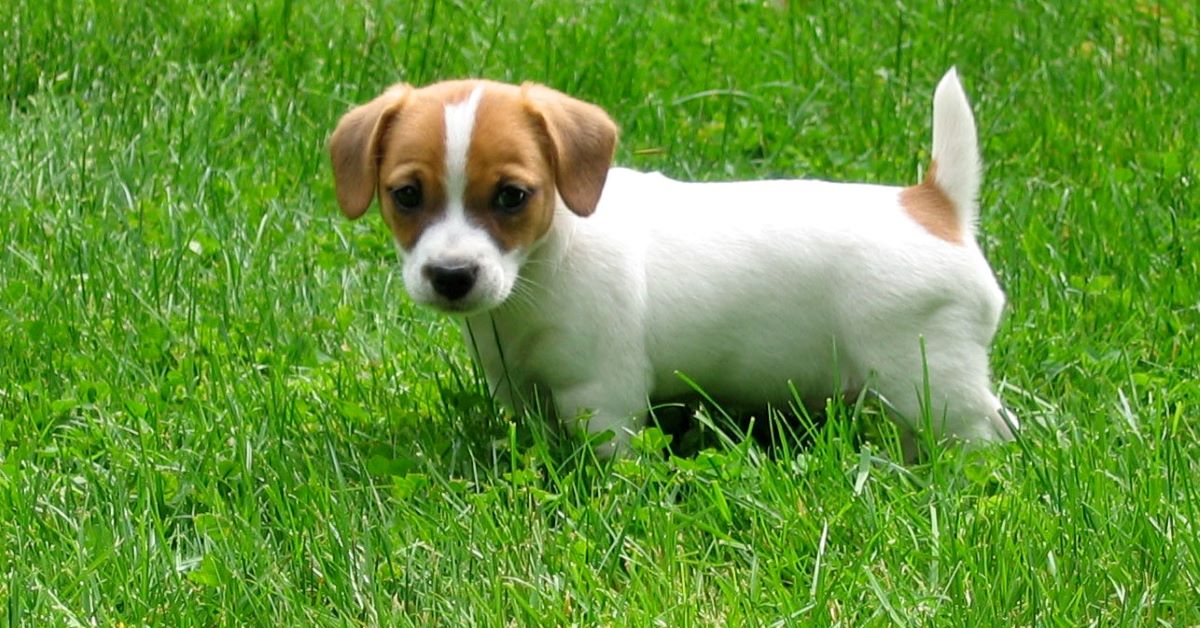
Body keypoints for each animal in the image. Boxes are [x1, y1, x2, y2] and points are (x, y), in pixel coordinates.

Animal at [333, 69, 1017, 456]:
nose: (452, 277)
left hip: (931, 378)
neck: (544, 264)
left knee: (982, 434)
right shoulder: (520, 388)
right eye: (406, 195)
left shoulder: (603, 398)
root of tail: (935, 204)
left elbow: (613, 463)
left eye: (511, 197)